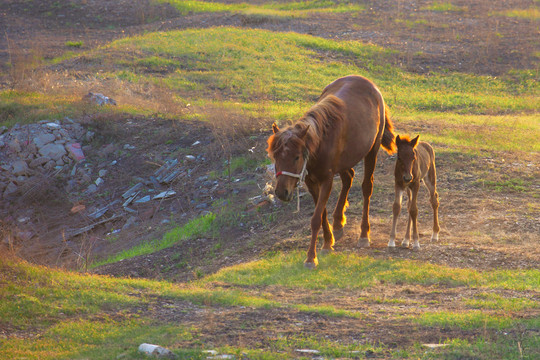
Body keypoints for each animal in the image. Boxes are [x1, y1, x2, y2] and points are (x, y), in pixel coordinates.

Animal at [266, 75, 396, 268]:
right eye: (275, 157)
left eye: (296, 157)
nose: (282, 192)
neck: (320, 142)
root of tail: (368, 82)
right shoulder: (311, 182)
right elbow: (322, 214)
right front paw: (328, 242)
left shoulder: (326, 180)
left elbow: (316, 218)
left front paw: (311, 257)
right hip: (345, 160)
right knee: (348, 178)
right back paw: (338, 223)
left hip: (372, 151)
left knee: (367, 188)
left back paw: (364, 234)